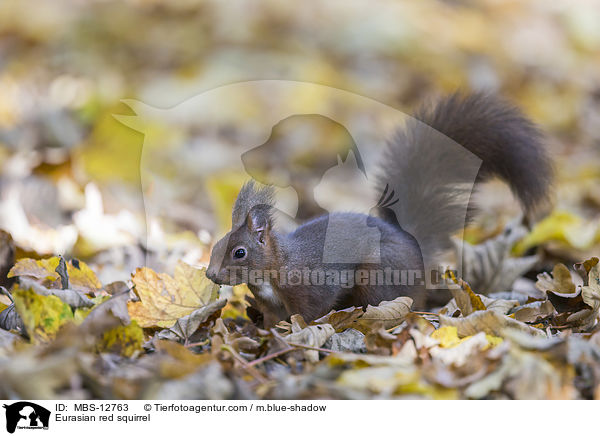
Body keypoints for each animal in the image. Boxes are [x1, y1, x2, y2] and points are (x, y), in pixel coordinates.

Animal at [206, 93, 552, 328]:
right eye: (216, 245)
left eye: (239, 252)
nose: (210, 274)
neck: (277, 265)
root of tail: (413, 244)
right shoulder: (271, 302)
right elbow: (272, 317)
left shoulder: (311, 287)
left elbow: (308, 313)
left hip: (377, 277)